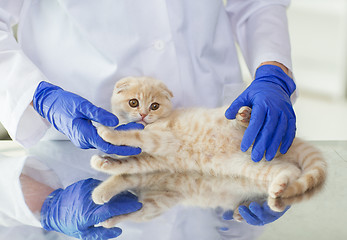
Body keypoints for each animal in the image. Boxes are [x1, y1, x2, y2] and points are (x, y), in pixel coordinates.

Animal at [91, 76, 328, 206]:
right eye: (133, 102)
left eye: (154, 106)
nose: (142, 115)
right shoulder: (151, 161)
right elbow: (128, 164)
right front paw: (103, 166)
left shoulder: (163, 138)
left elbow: (134, 136)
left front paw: (107, 132)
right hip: (253, 165)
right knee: (290, 169)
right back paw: (279, 186)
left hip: (247, 129)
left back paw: (245, 116)